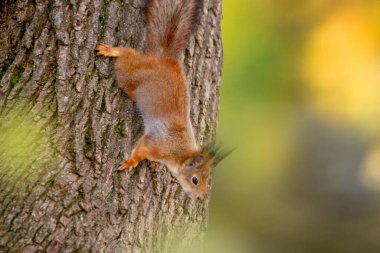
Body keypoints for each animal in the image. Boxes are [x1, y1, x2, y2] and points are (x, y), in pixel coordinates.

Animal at [96, 0, 226, 200]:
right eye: (195, 180)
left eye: (207, 179)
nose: (200, 197)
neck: (179, 152)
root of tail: (165, 58)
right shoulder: (156, 144)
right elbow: (140, 151)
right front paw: (131, 162)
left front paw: (152, 164)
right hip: (130, 75)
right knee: (126, 55)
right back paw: (110, 50)